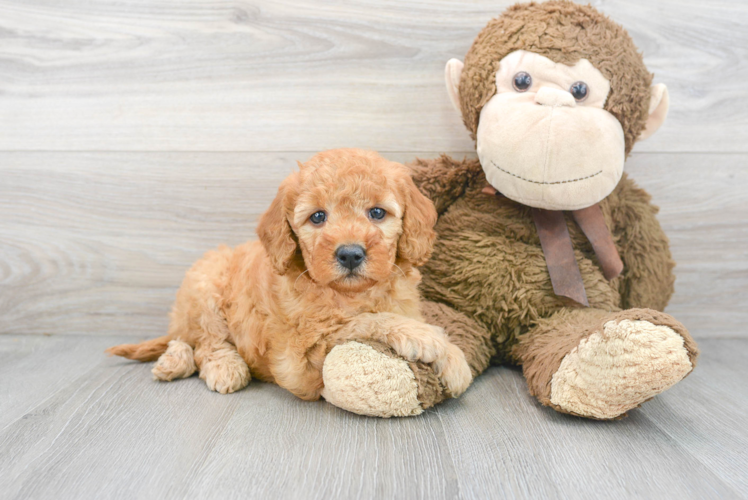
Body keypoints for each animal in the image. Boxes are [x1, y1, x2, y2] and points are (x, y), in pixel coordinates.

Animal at [106, 148, 468, 402]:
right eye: (318, 217)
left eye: (377, 213)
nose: (350, 254)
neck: (349, 294)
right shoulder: (299, 359)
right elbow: (364, 320)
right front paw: (426, 337)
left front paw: (453, 360)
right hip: (205, 283)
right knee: (205, 341)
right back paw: (222, 367)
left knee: (184, 338)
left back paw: (172, 361)